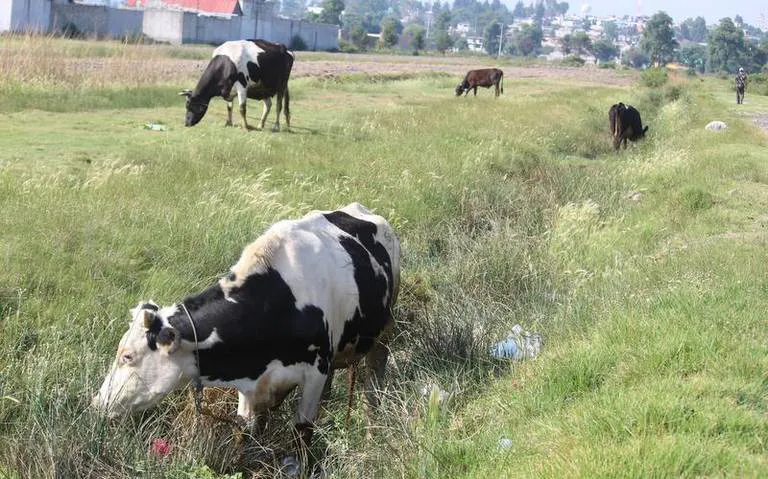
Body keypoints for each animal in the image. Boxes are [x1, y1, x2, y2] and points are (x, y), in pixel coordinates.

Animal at [92, 202, 400, 474]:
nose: (98, 403)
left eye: (127, 356)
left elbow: (302, 434)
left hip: (384, 332)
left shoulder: (315, 372)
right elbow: (248, 438)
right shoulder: (252, 388)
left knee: (372, 387)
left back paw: (371, 432)